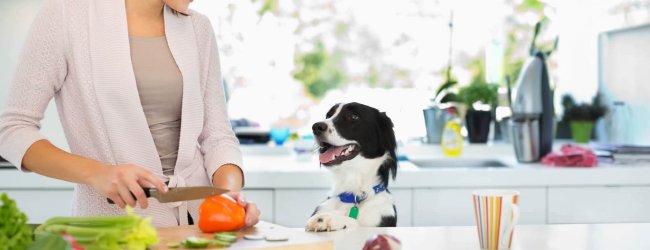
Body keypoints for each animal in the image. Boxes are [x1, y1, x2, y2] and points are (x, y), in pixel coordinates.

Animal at [302, 102, 394, 231]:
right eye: (328, 115)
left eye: (353, 116)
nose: (316, 127)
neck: (353, 195)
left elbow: (357, 224)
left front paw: (328, 219)